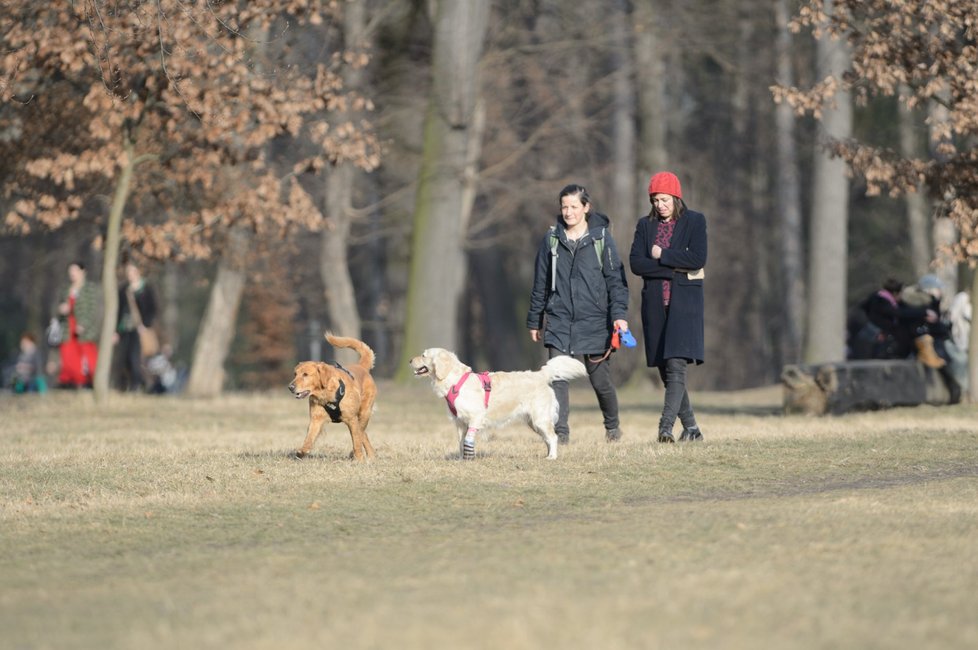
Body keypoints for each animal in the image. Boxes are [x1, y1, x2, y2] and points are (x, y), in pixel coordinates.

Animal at [406, 346, 584, 458]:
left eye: (424, 355)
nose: (409, 360)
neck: (455, 381)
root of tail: (540, 374)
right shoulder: (460, 422)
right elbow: (461, 442)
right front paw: (462, 459)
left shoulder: (475, 417)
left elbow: (468, 440)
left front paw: (469, 457)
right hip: (533, 422)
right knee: (548, 438)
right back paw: (547, 454)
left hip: (540, 418)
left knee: (553, 437)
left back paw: (552, 457)